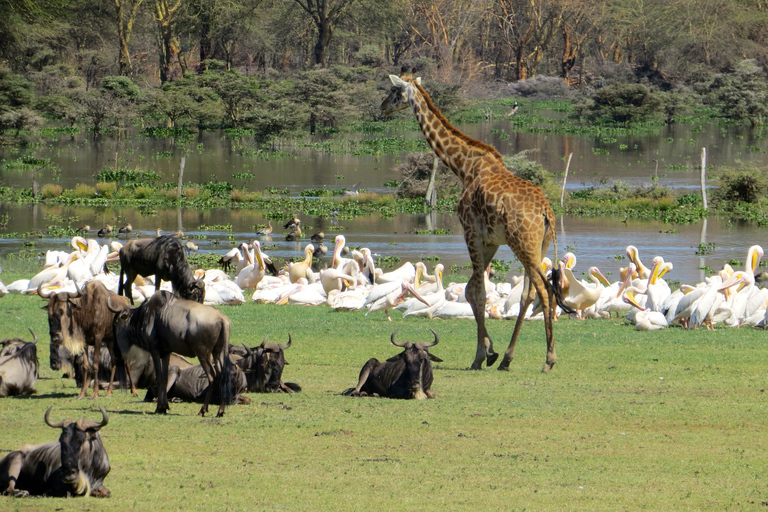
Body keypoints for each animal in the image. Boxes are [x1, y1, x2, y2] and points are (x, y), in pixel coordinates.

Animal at [382, 74, 568, 372]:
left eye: (394, 90)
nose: (382, 107)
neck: (464, 167)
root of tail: (547, 213)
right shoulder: (490, 240)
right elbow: (470, 290)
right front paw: (491, 352)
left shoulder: (470, 231)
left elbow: (478, 292)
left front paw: (480, 356)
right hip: (538, 246)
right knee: (529, 294)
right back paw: (507, 358)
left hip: (523, 244)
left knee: (545, 290)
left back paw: (548, 360)